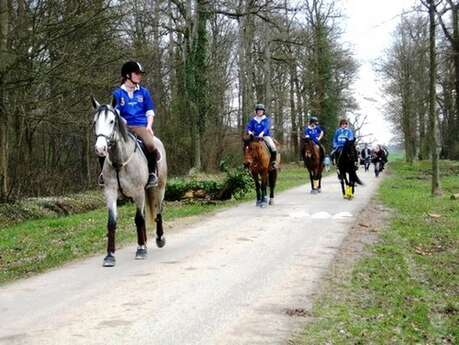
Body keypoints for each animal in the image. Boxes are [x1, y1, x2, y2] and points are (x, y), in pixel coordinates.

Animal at [91, 97, 167, 266]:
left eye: (112, 121)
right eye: (95, 121)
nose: (100, 148)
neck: (119, 161)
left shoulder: (138, 192)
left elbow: (138, 219)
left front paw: (140, 250)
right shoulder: (110, 192)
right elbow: (112, 222)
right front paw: (109, 256)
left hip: (159, 188)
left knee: (158, 210)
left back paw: (159, 239)